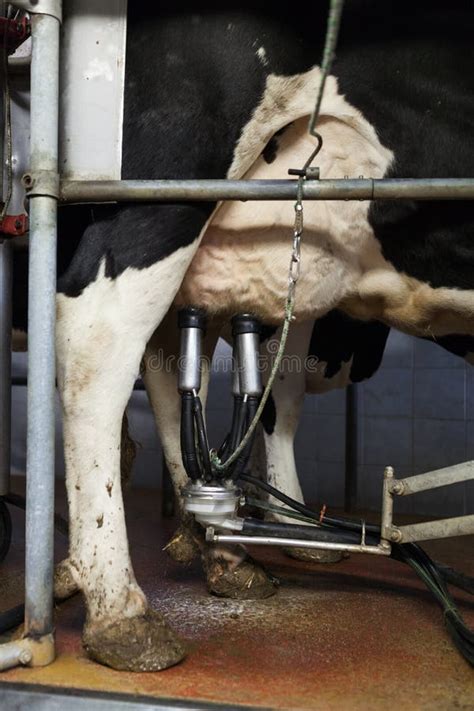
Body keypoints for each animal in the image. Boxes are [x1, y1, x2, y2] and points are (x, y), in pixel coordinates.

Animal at [11, 0, 474, 672]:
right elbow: (280, 403)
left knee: (170, 367)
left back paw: (220, 550)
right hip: (167, 184)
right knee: (101, 345)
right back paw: (121, 610)